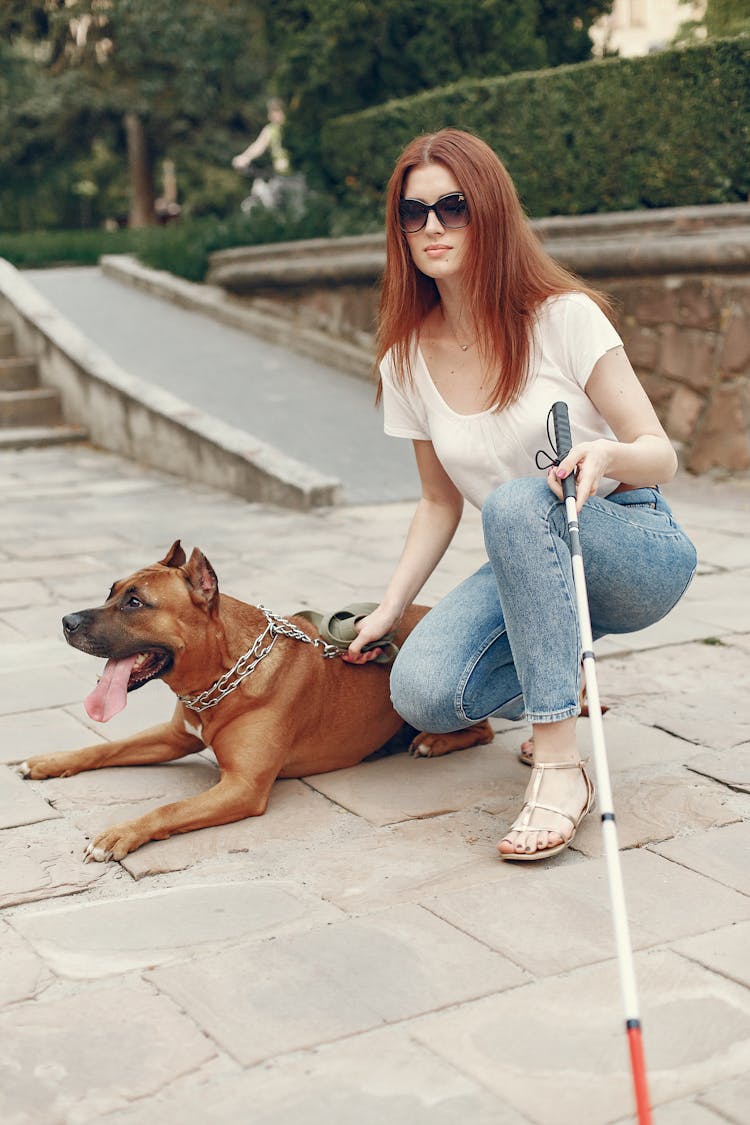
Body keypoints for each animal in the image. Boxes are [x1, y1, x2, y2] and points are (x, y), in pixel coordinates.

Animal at [19, 540, 492, 855]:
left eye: (136, 602)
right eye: (111, 591)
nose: (66, 621)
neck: (221, 676)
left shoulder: (242, 787)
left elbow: (169, 809)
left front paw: (123, 832)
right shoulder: (174, 736)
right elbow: (106, 747)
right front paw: (49, 762)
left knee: (483, 729)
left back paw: (433, 742)